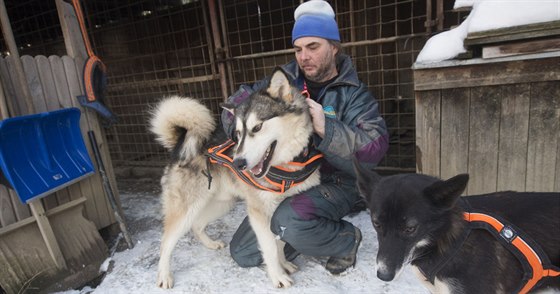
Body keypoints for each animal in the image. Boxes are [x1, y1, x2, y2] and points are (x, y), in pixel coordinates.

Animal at [150, 68, 320, 288]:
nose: (238, 163)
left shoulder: (280, 211)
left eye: (257, 128)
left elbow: (280, 242)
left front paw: (284, 264)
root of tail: (180, 145)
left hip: (221, 203)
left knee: (197, 225)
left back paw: (211, 243)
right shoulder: (259, 212)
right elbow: (270, 248)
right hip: (186, 209)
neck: (287, 164)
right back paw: (164, 275)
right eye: (238, 134)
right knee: (166, 242)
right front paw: (278, 276)